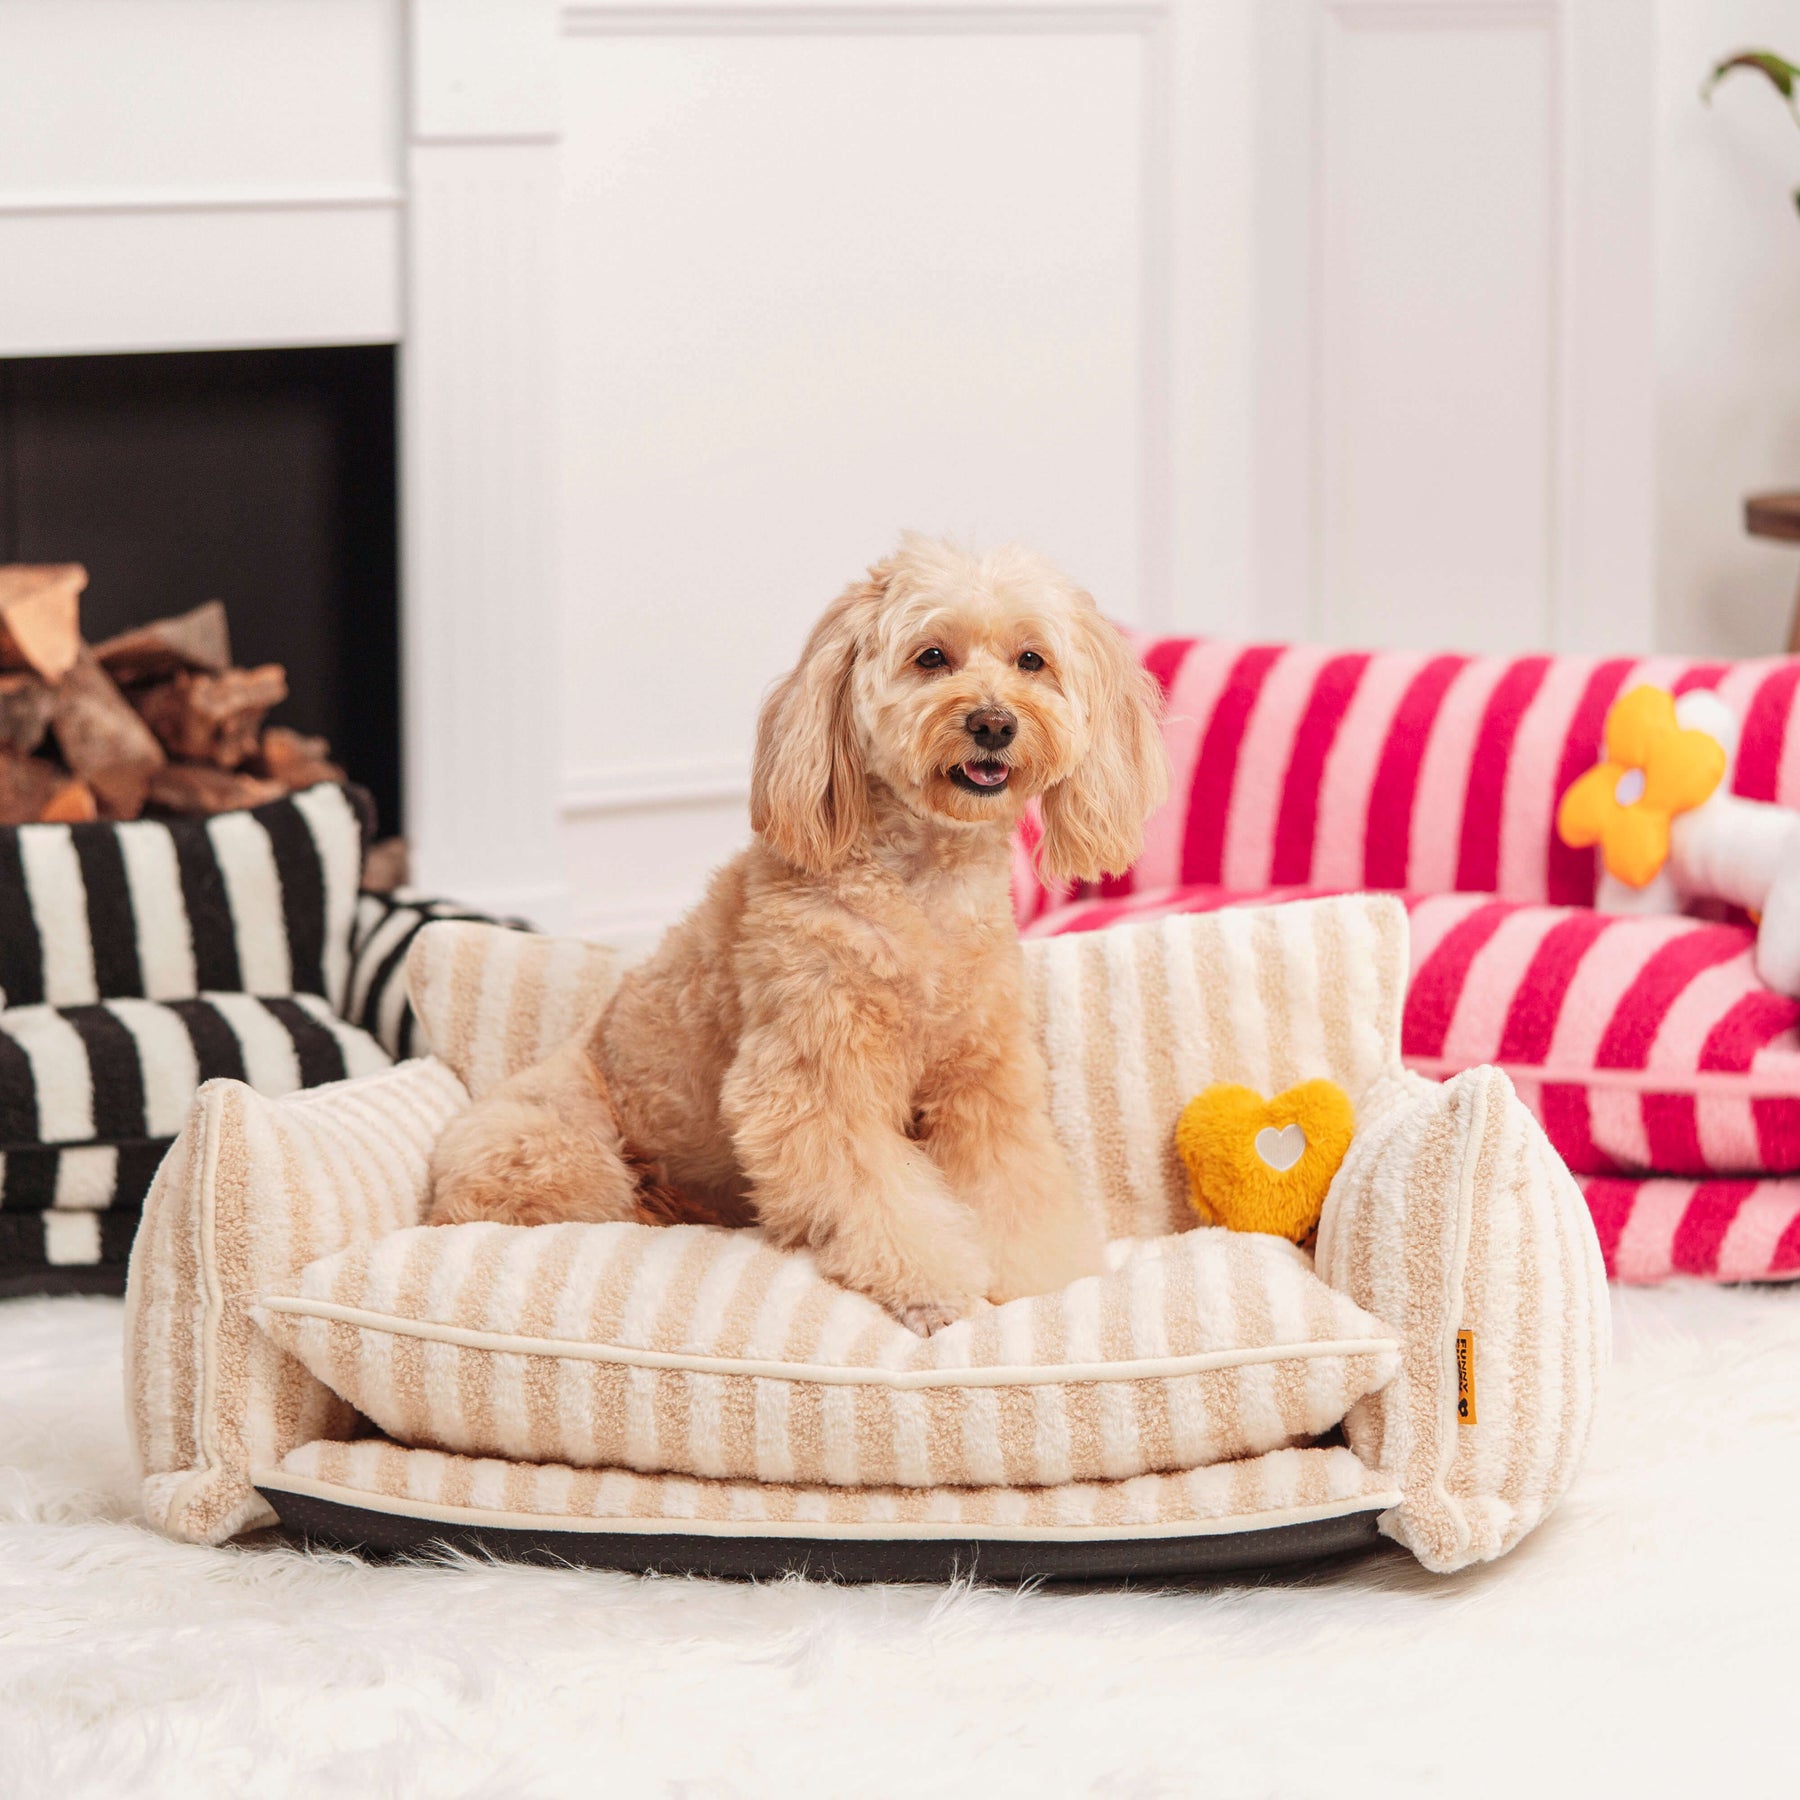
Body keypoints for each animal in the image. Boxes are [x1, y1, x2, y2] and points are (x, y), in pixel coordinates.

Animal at [430, 540, 1173, 1332]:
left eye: (1031, 659)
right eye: (931, 657)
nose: (993, 723)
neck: (923, 885)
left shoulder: (981, 1082)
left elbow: (1014, 1187)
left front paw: (1036, 1279)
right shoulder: (818, 1077)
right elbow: (880, 1194)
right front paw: (934, 1291)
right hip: (559, 1158)